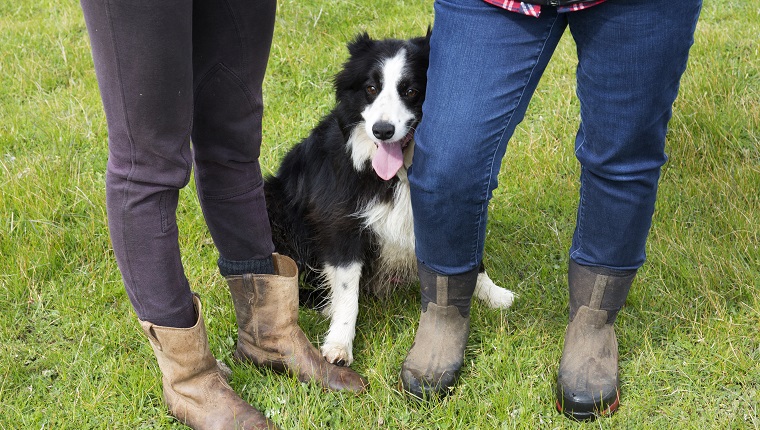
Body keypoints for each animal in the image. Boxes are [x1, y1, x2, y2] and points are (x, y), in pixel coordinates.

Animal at [264, 32, 512, 366]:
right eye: (371, 88)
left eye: (411, 91)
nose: (382, 131)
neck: (398, 173)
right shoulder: (341, 221)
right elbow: (348, 292)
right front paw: (339, 345)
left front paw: (494, 294)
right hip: (273, 203)